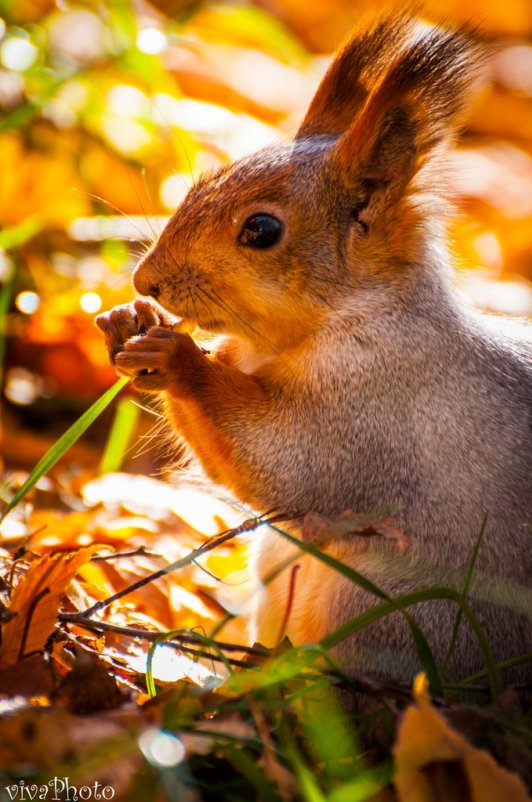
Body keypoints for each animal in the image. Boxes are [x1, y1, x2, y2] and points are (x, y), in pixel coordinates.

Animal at [96, 14, 532, 680]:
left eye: (261, 230)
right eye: (202, 183)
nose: (147, 282)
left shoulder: (373, 404)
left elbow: (282, 458)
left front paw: (178, 361)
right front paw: (129, 323)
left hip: (395, 611)